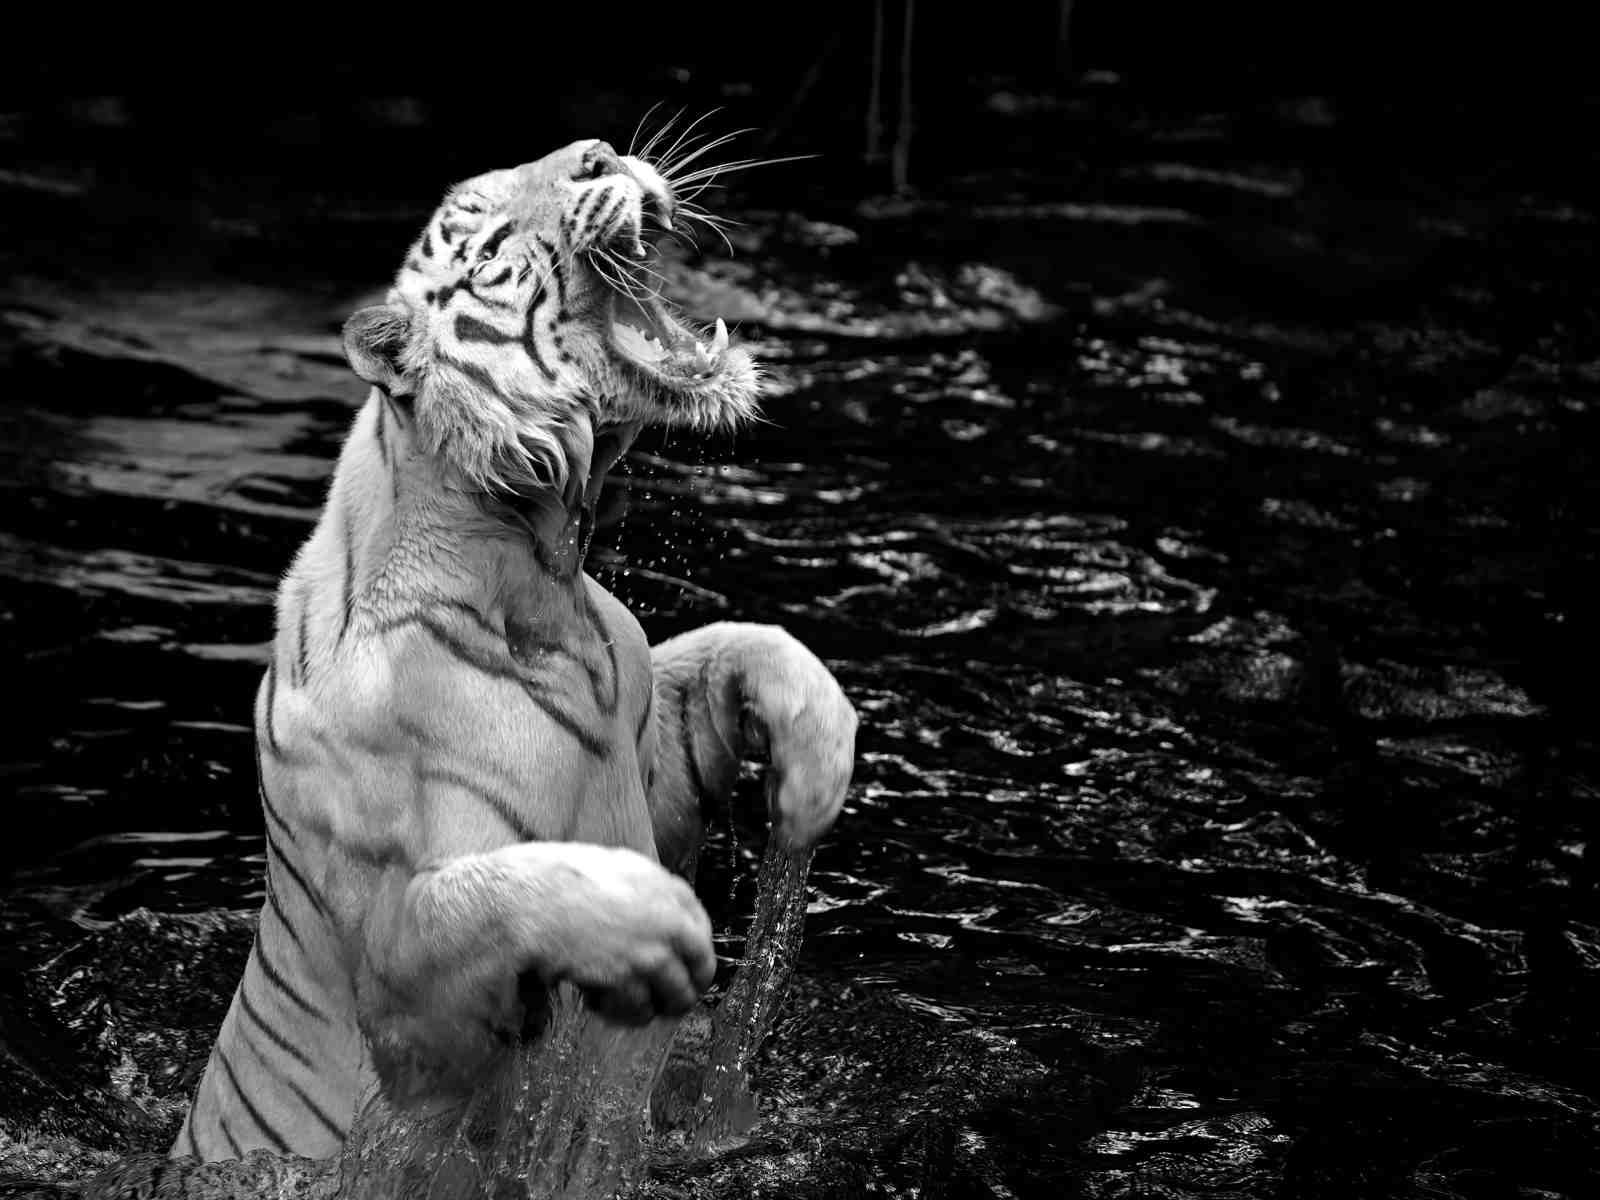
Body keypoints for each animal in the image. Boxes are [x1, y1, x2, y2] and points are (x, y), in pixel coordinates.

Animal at [173, 136, 858, 1164]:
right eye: (495, 246)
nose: (601, 152)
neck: (540, 574)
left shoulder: (642, 743)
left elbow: (739, 645)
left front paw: (814, 775)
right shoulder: (407, 1017)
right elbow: (484, 897)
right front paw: (659, 932)